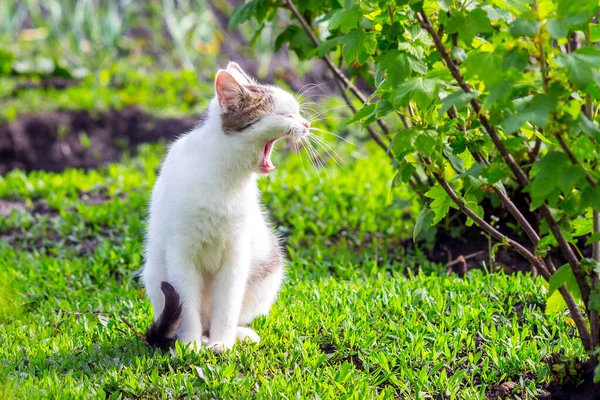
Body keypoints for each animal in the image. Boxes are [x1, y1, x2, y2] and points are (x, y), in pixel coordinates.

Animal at [141, 61, 310, 352]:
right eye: (287, 115)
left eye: (298, 114)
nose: (307, 124)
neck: (228, 177)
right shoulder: (181, 252)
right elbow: (186, 303)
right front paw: (190, 345)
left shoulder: (237, 251)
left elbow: (229, 302)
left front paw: (223, 343)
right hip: (155, 274)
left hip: (268, 269)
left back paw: (236, 335)